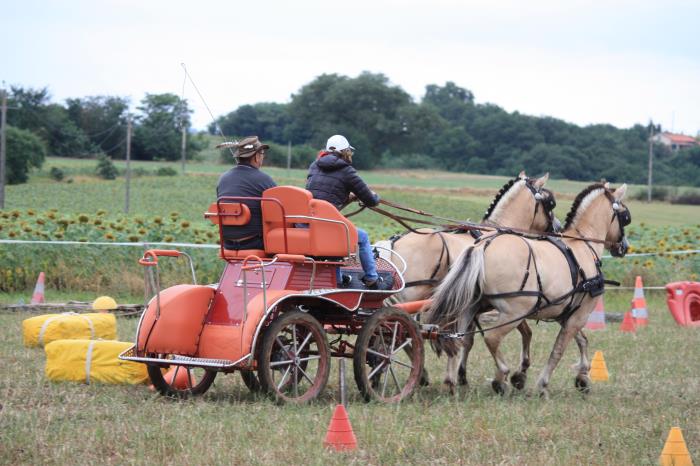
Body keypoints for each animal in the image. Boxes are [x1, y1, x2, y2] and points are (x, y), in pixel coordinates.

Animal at [382, 173, 556, 388]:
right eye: (550, 203)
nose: (557, 229)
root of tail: (395, 242)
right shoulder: (510, 303)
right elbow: (526, 332)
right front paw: (520, 373)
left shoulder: (473, 308)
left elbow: (467, 339)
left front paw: (460, 374)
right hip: (410, 298)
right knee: (400, 333)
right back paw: (415, 373)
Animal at [426, 182, 628, 396]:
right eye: (625, 216)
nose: (624, 247)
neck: (582, 246)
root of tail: (482, 246)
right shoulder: (579, 316)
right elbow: (558, 350)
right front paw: (542, 384)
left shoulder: (566, 314)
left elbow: (582, 340)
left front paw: (583, 376)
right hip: (514, 312)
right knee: (491, 338)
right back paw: (500, 378)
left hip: (470, 308)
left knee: (457, 339)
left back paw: (451, 382)